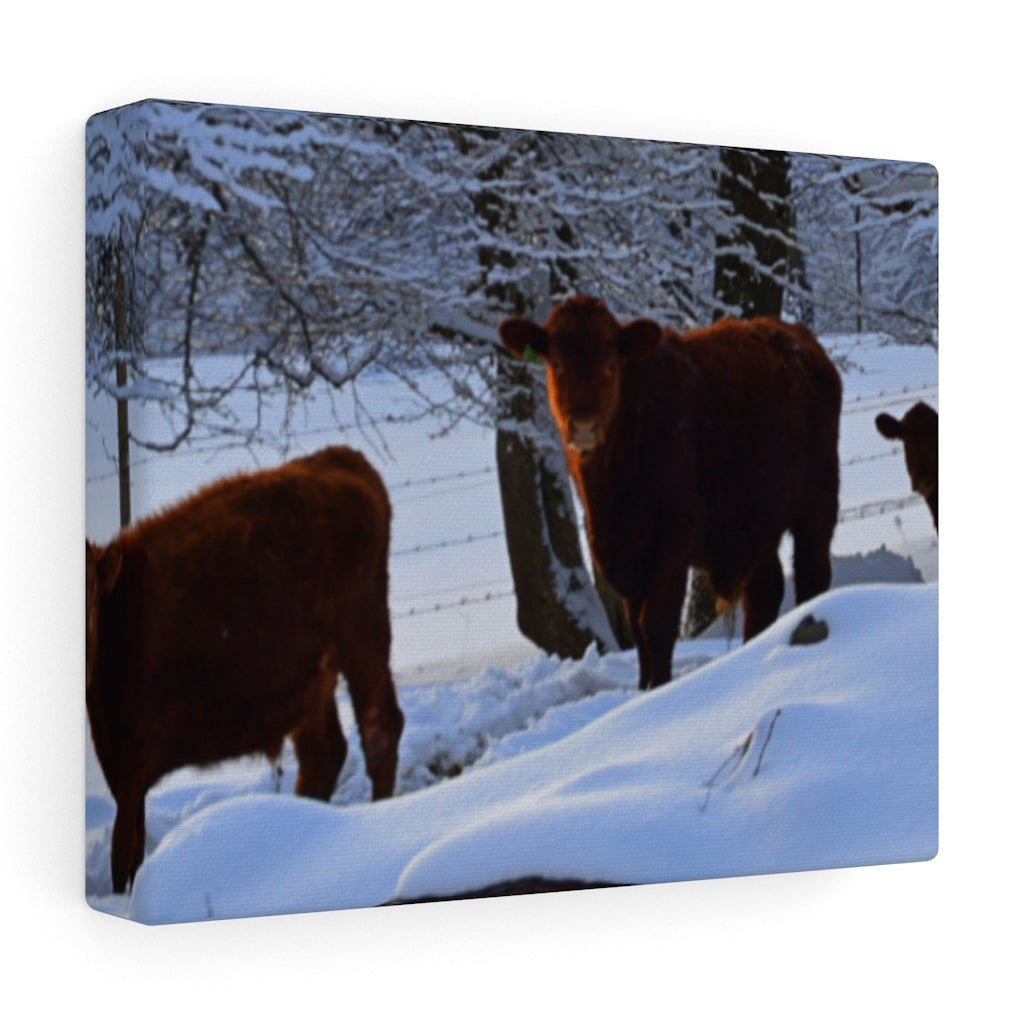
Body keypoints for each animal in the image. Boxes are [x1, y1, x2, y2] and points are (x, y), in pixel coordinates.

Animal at [85, 446, 405, 893]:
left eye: (92, 597)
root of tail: (337, 457)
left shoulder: (131, 768)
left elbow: (123, 860)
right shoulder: (120, 766)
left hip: (362, 635)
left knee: (379, 731)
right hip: (311, 676)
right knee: (324, 752)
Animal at [499, 295, 842, 690]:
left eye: (611, 365)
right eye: (555, 364)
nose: (584, 426)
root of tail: (799, 338)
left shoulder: (672, 542)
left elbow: (657, 626)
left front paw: (660, 689)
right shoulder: (622, 553)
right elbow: (638, 633)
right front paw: (643, 688)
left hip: (818, 503)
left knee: (812, 576)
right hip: (755, 521)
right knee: (764, 592)